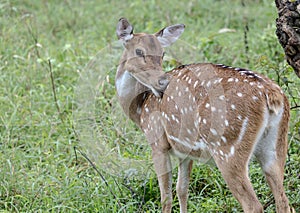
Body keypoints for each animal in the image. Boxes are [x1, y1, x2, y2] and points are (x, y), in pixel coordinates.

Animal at [115, 17, 296, 212]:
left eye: (162, 54)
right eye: (138, 51)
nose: (162, 82)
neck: (141, 108)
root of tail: (272, 95)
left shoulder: (157, 142)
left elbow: (166, 197)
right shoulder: (184, 150)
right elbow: (182, 190)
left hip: (227, 147)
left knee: (253, 205)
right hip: (276, 146)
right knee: (284, 201)